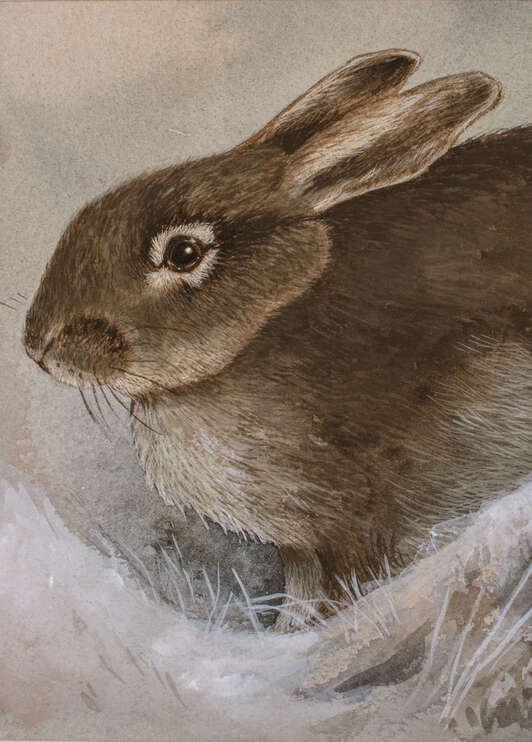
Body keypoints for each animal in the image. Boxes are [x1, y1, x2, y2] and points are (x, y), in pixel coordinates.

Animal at [23, 49, 532, 631]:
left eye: (183, 254)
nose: (37, 345)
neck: (263, 327)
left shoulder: (359, 525)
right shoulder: (304, 548)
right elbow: (304, 595)